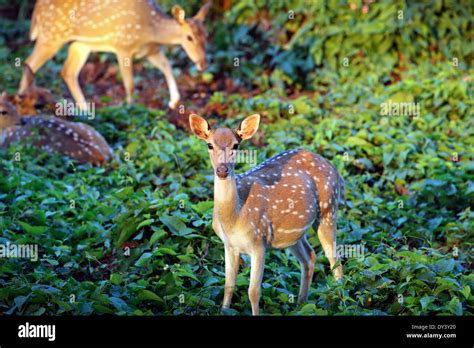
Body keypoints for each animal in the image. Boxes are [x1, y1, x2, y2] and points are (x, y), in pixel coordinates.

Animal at [19, 0, 211, 109]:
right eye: (189, 37)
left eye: (206, 35)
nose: (202, 64)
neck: (150, 31)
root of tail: (36, 11)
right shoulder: (123, 45)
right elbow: (129, 83)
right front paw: (130, 108)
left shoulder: (150, 51)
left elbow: (167, 66)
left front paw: (174, 101)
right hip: (51, 35)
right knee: (30, 61)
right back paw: (22, 101)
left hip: (79, 44)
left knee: (67, 72)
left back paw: (85, 110)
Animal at [189, 114, 344, 316]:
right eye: (209, 144)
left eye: (236, 145)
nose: (222, 170)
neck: (233, 219)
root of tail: (333, 166)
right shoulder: (229, 245)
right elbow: (228, 285)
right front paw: (224, 310)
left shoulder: (258, 243)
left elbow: (253, 291)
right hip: (293, 233)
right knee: (310, 257)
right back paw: (300, 305)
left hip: (328, 209)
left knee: (335, 260)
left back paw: (340, 303)